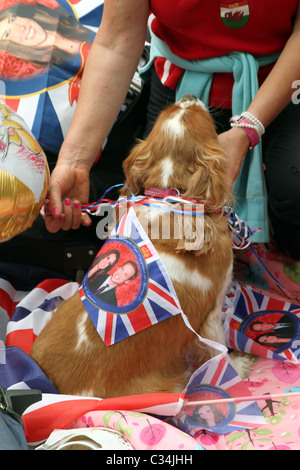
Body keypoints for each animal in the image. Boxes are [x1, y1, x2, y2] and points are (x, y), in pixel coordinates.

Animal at [30, 97, 251, 398]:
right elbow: (217, 348)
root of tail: (55, 392)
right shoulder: (212, 310)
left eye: (170, 110)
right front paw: (236, 367)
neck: (171, 194)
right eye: (200, 115)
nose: (189, 96)